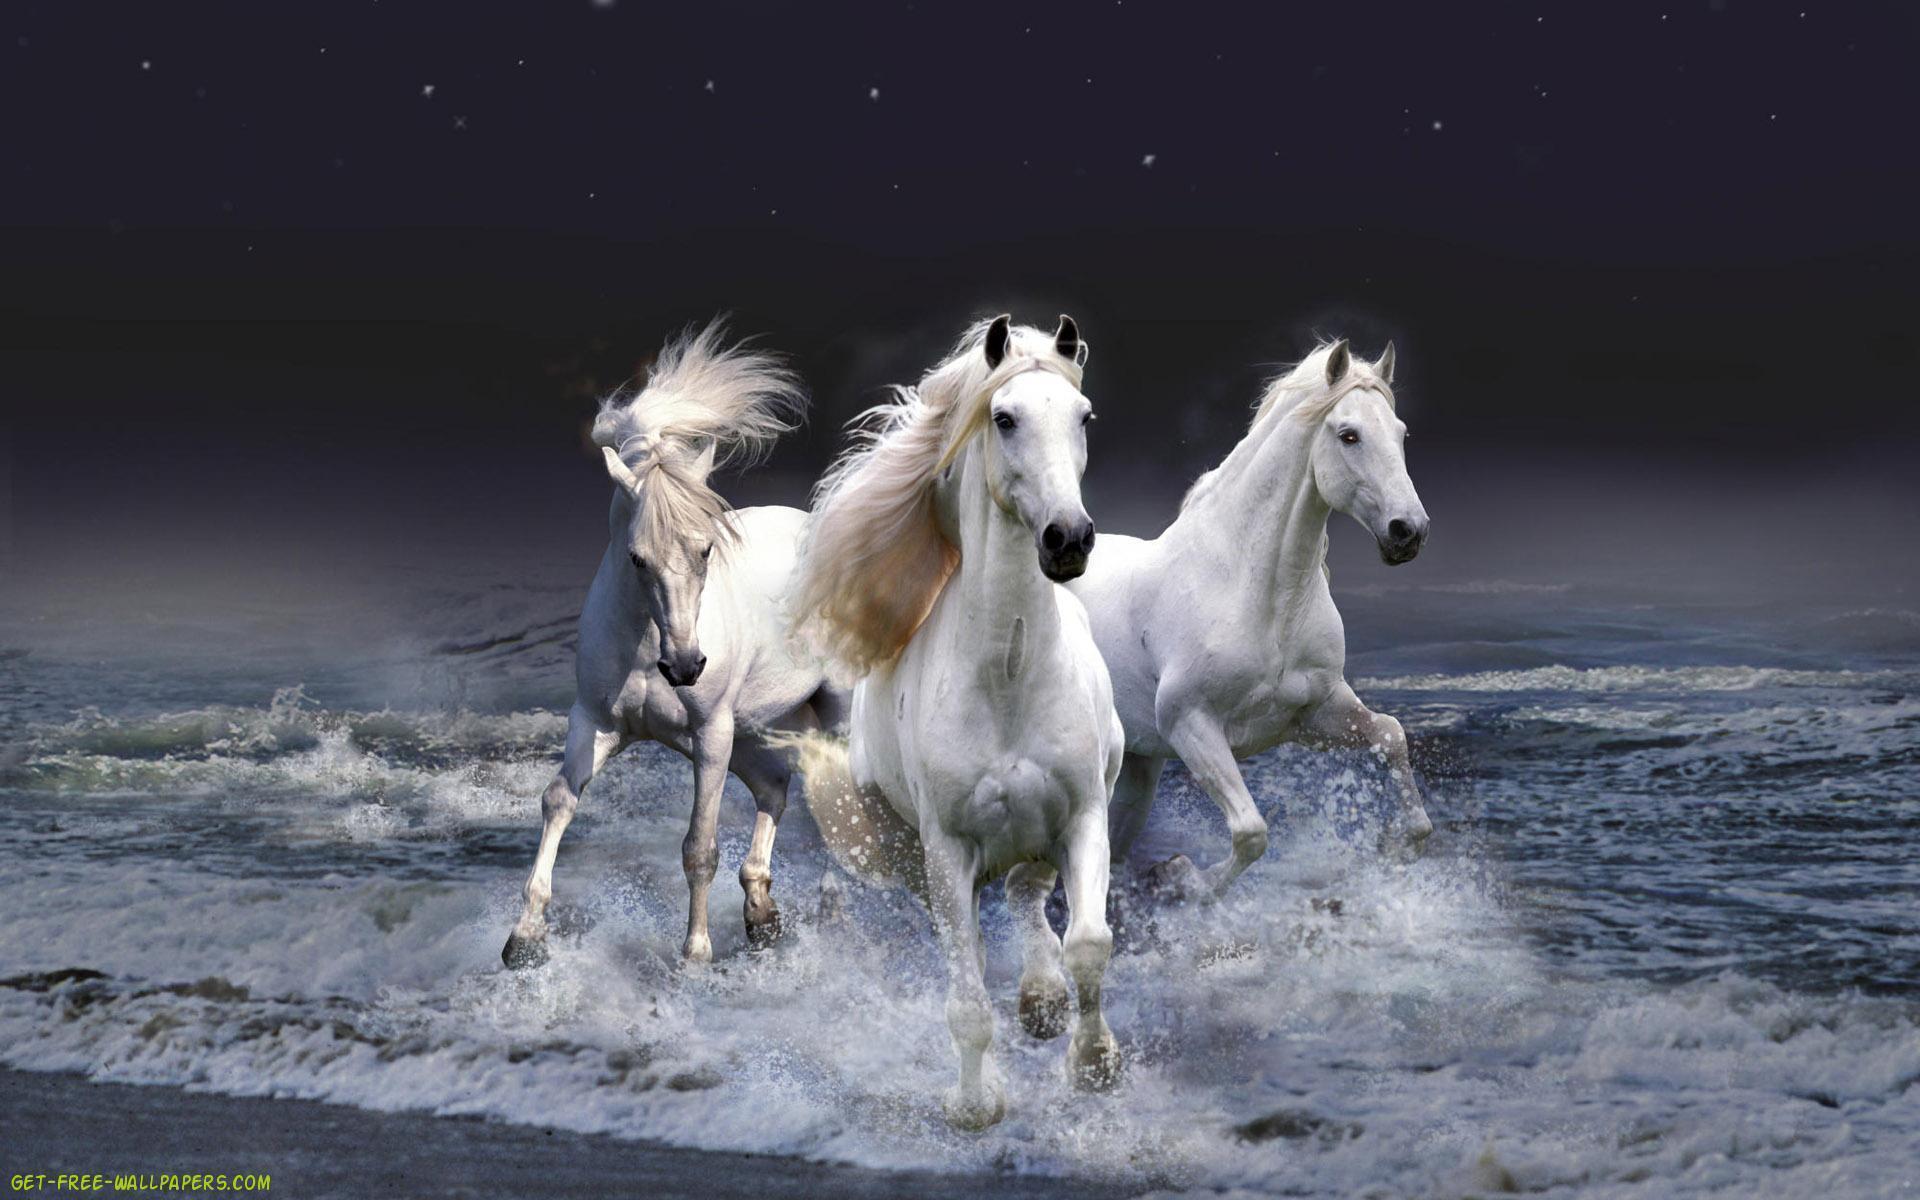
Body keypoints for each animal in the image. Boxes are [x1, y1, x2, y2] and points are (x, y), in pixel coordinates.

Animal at [501, 321, 847, 969]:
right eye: (637, 557)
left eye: (706, 548)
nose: (685, 666)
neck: (645, 647)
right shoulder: (597, 723)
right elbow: (558, 800)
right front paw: (524, 939)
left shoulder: (709, 734)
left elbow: (698, 846)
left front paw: (695, 957)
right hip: (753, 730)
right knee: (775, 788)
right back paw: (762, 916)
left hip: (825, 715)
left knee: (840, 801)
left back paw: (830, 909)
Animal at [784, 314, 1125, 1130]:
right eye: (1004, 418)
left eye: (1084, 417)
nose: (1069, 539)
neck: (1008, 675)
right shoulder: (947, 851)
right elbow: (966, 998)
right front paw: (975, 1106)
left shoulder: (1082, 815)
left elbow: (1089, 943)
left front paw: (1094, 1064)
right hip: (913, 856)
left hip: (1039, 833)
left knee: (1029, 896)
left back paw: (1042, 1001)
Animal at [1065, 339, 1433, 899]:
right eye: (1349, 435)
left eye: (1401, 432)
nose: (1408, 531)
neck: (1259, 597)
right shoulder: (1190, 723)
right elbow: (1251, 832)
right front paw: (1182, 878)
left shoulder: (1314, 713)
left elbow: (1391, 736)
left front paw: (1393, 847)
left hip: (1138, 768)